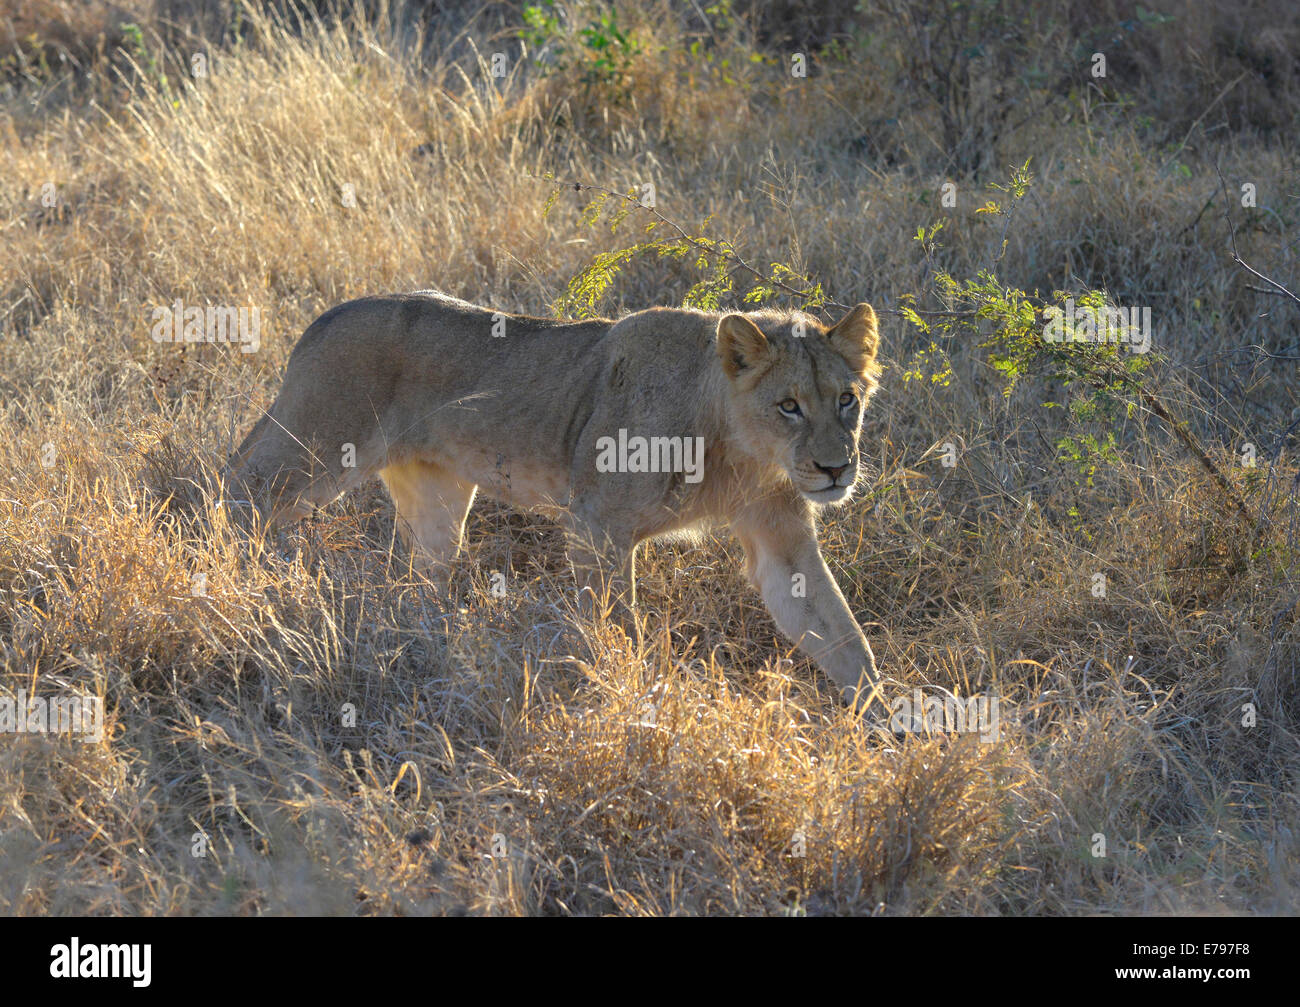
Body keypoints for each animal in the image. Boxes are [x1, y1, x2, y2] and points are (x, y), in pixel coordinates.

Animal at [228, 293, 889, 706]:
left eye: (847, 400)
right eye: (789, 405)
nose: (835, 469)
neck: (743, 454)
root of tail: (323, 318)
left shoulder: (782, 539)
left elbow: (842, 634)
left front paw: (890, 734)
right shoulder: (597, 526)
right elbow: (619, 628)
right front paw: (635, 701)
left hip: (438, 496)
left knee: (420, 574)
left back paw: (429, 636)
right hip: (313, 447)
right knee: (237, 488)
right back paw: (232, 580)